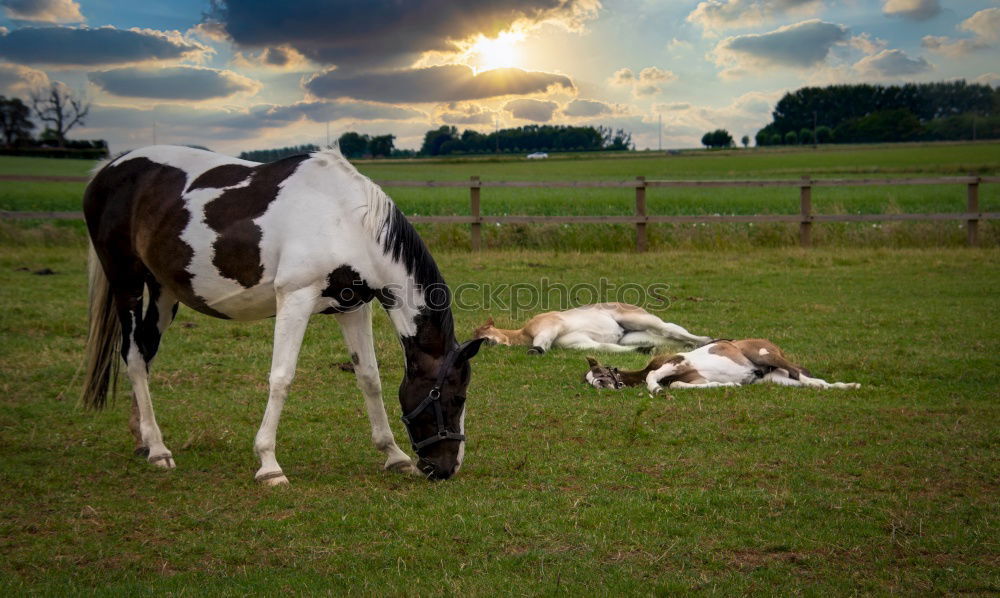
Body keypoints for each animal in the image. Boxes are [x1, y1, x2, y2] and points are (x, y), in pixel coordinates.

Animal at [81, 146, 484, 488]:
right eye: (455, 398)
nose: (446, 469)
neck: (345, 219)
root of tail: (109, 170)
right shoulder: (295, 298)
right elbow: (282, 378)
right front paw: (269, 465)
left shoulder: (353, 307)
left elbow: (369, 377)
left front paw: (394, 455)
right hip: (127, 283)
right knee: (134, 358)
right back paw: (158, 449)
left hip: (164, 292)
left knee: (145, 354)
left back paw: (143, 441)